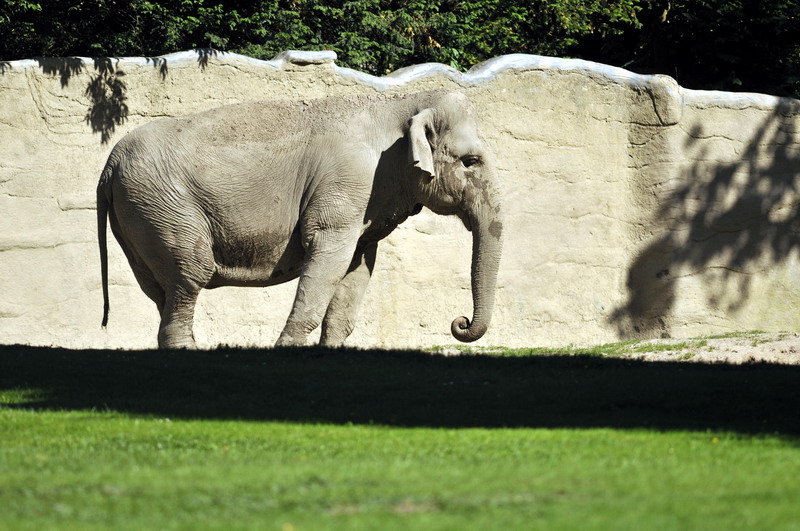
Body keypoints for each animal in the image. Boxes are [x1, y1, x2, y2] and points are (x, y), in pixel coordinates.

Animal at [97, 90, 503, 349]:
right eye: (470, 161)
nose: (460, 322)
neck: (401, 101)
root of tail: (109, 166)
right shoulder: (346, 183)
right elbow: (327, 256)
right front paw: (287, 349)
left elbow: (357, 266)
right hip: (164, 208)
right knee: (189, 276)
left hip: (140, 217)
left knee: (161, 290)